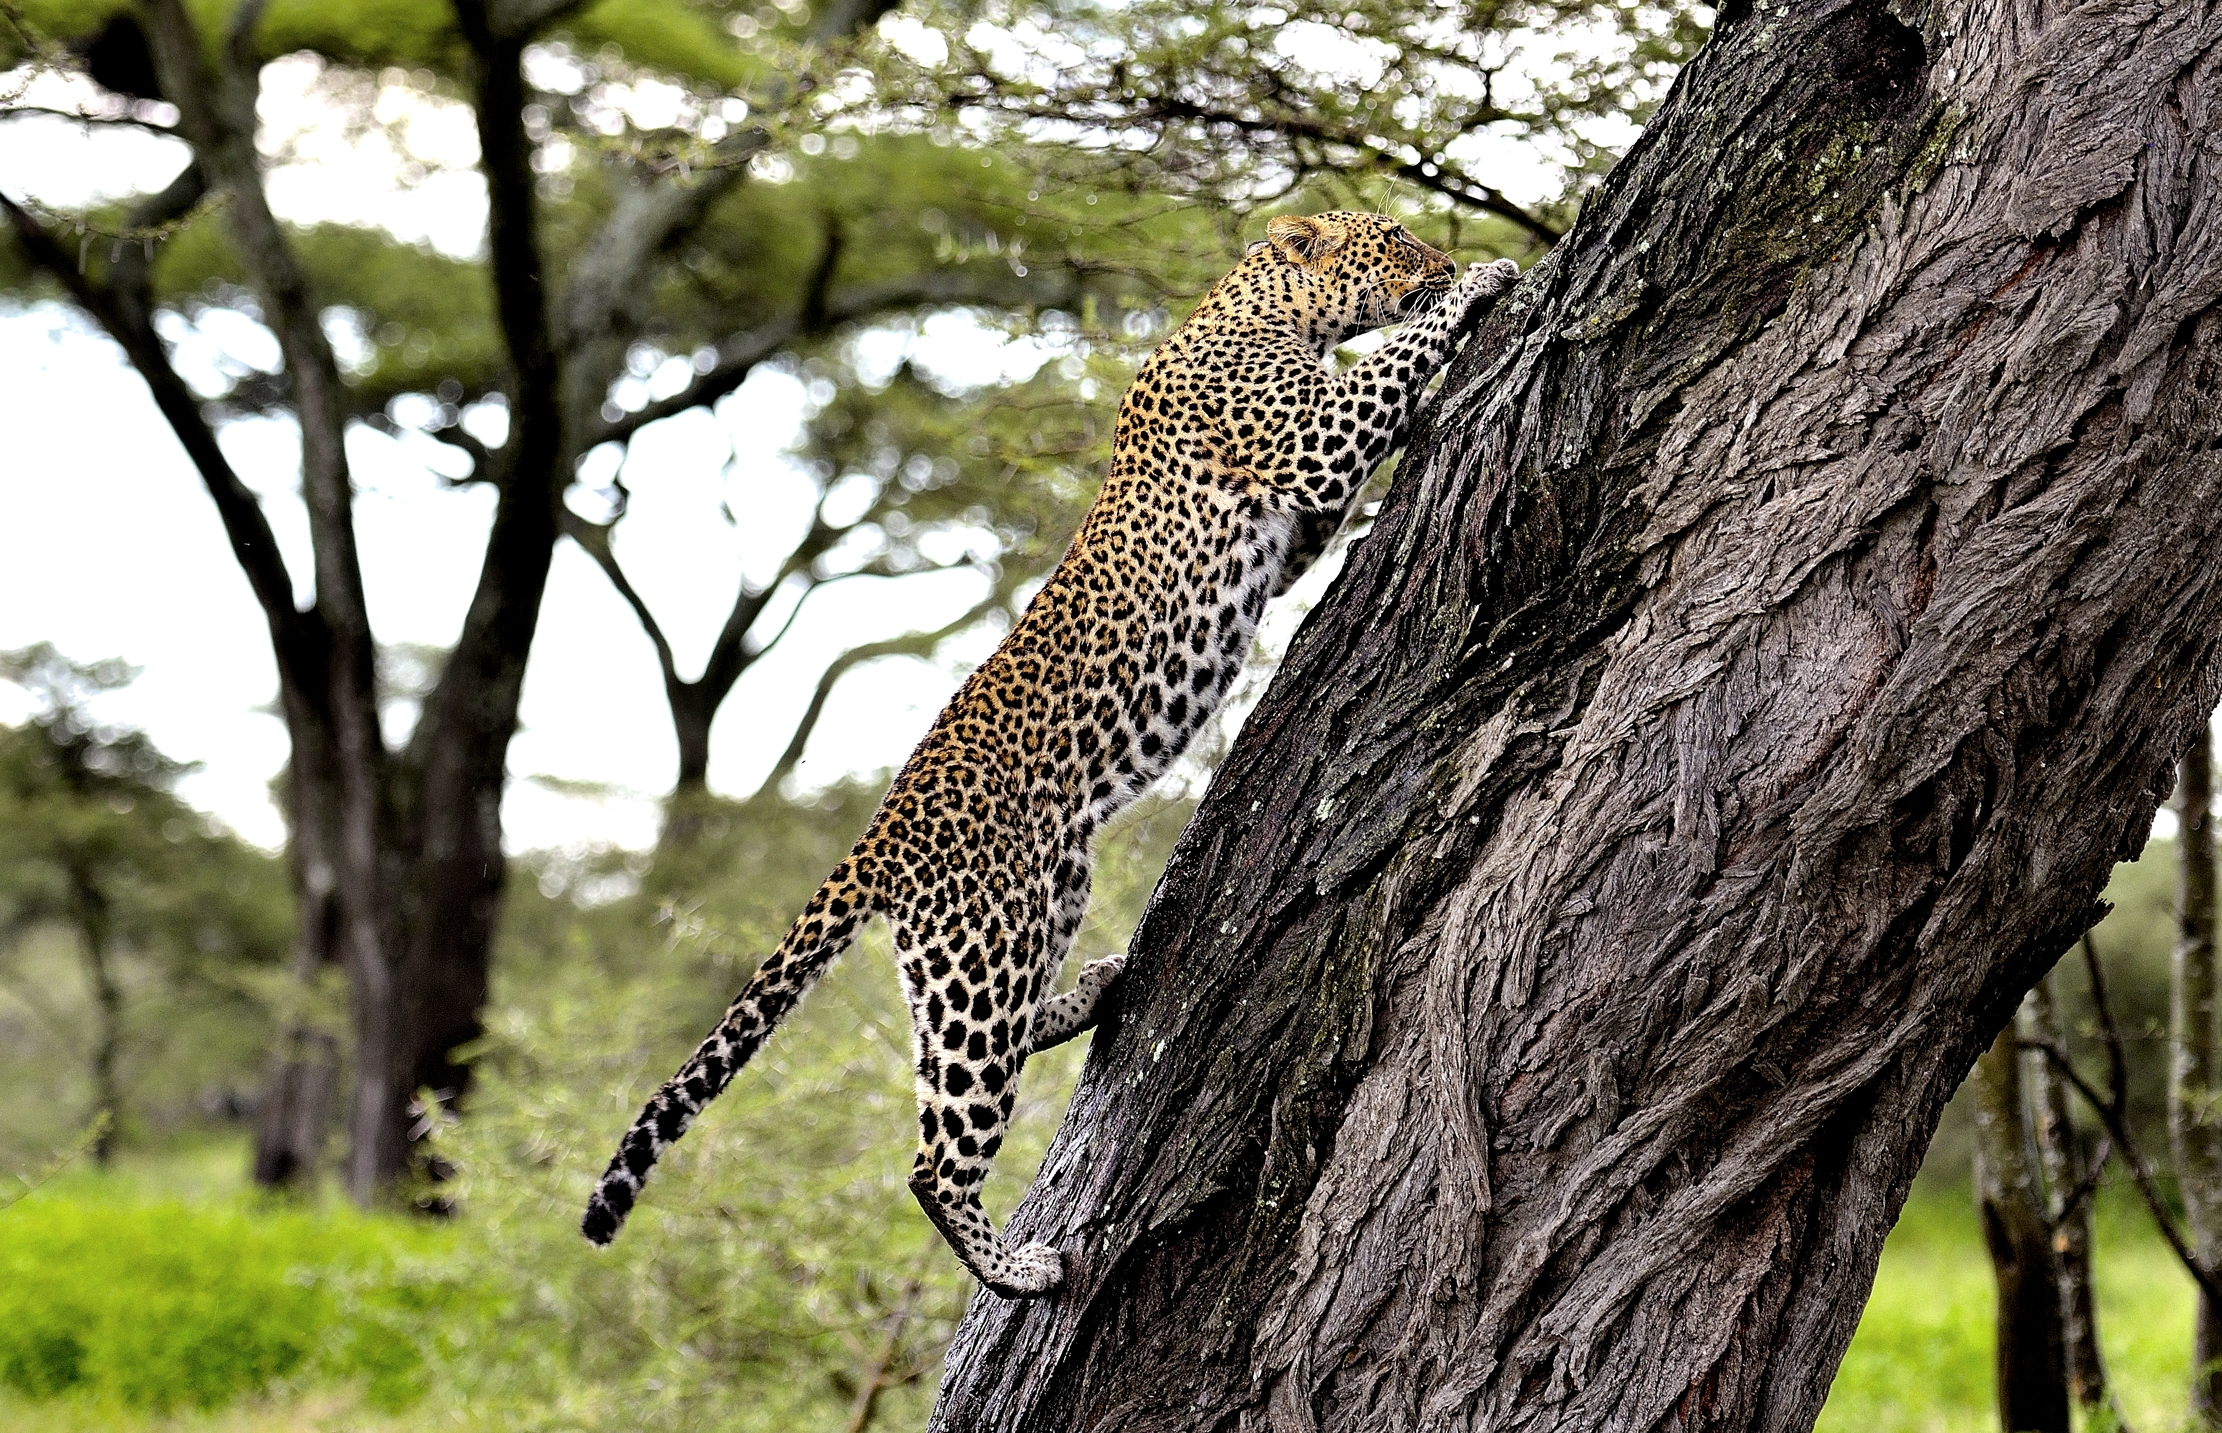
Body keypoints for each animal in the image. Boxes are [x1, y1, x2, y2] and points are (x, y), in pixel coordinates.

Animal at [581, 211, 1521, 1298]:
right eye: (1396, 240)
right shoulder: (1307, 438)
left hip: (1035, 900)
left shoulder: (1295, 522)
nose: (1441, 260)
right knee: (935, 1153)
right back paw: (1015, 1268)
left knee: (990, 1035)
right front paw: (1488, 280)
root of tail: (876, 835)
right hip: (981, 948)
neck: (1261, 303)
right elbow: (1395, 359)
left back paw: (1095, 987)